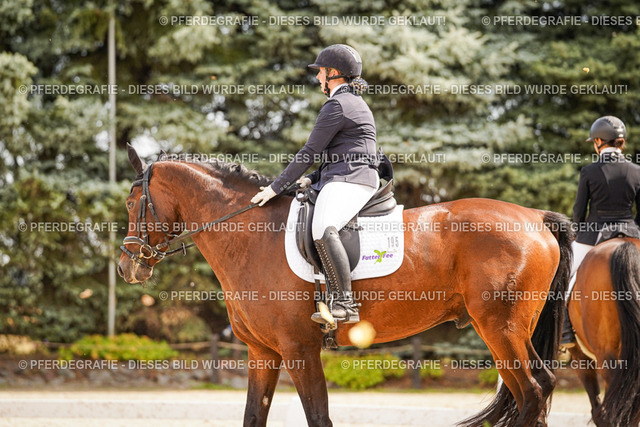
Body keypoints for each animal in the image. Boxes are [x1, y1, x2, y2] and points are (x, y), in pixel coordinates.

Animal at [118, 144, 573, 427]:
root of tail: (536, 216)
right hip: (502, 330)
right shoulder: (263, 353)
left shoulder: (299, 349)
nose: (126, 267)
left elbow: (319, 416)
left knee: (533, 392)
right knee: (537, 389)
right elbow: (253, 416)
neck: (252, 234)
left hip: (501, 328)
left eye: (130, 202)